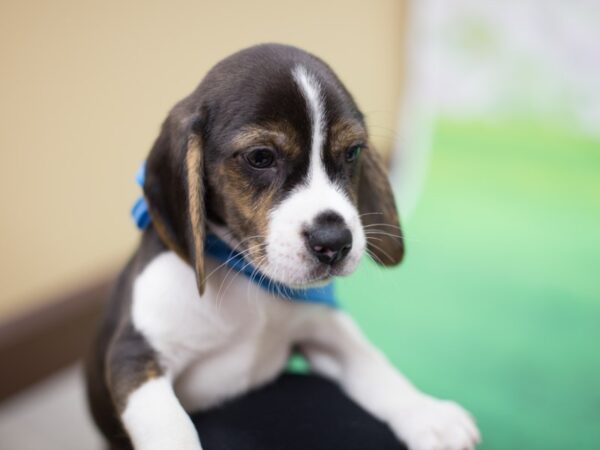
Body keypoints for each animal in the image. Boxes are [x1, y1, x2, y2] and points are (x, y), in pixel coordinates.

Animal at [84, 43, 480, 450]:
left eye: (353, 152)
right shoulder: (134, 356)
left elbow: (371, 361)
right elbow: (171, 427)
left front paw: (428, 413)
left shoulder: (322, 327)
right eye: (261, 157)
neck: (249, 281)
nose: (334, 242)